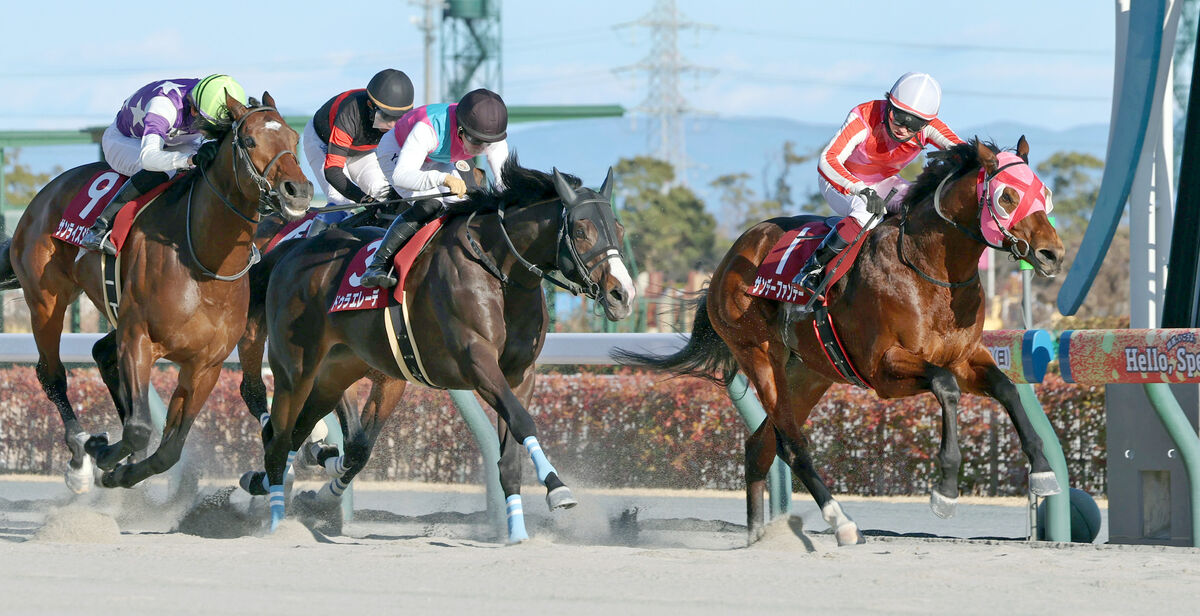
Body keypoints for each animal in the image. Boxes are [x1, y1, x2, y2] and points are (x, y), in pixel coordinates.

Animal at [0, 93, 312, 489]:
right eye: (251, 141)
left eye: (294, 139)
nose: (298, 192)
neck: (205, 266)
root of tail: (44, 194)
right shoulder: (138, 339)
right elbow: (138, 430)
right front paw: (103, 453)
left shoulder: (205, 366)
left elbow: (169, 449)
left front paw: (126, 470)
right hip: (46, 299)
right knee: (50, 373)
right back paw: (79, 456)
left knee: (102, 353)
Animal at [237, 160, 643, 535]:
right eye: (581, 230)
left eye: (619, 229)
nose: (622, 295)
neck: (497, 271)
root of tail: (293, 250)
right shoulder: (476, 363)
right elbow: (523, 421)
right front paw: (558, 489)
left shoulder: (517, 375)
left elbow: (510, 450)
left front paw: (517, 530)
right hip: (296, 367)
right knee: (276, 432)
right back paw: (275, 517)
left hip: (334, 373)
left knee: (297, 431)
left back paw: (270, 485)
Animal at [619, 138, 1060, 542]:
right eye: (1007, 196)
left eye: (1044, 193)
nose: (1052, 253)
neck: (929, 270)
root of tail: (731, 256)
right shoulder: (884, 369)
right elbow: (946, 387)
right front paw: (946, 490)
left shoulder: (964, 357)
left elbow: (1006, 387)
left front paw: (1042, 470)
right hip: (758, 354)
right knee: (790, 443)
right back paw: (843, 523)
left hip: (811, 372)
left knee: (760, 444)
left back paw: (758, 535)